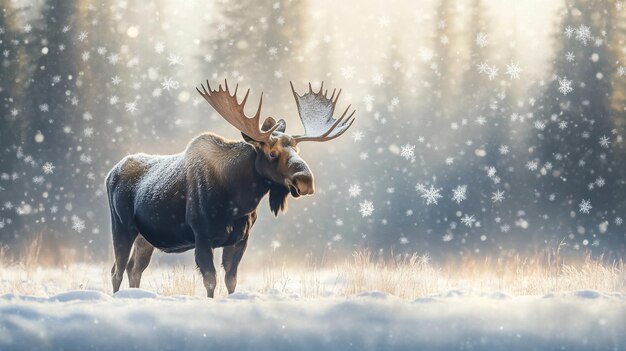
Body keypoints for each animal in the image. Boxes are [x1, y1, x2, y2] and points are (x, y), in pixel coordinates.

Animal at [105, 80, 354, 296]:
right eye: (273, 153)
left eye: (297, 150)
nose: (306, 181)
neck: (238, 201)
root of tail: (110, 174)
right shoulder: (201, 236)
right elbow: (210, 281)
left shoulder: (240, 239)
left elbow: (231, 280)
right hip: (122, 226)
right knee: (117, 270)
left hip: (145, 237)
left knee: (134, 269)